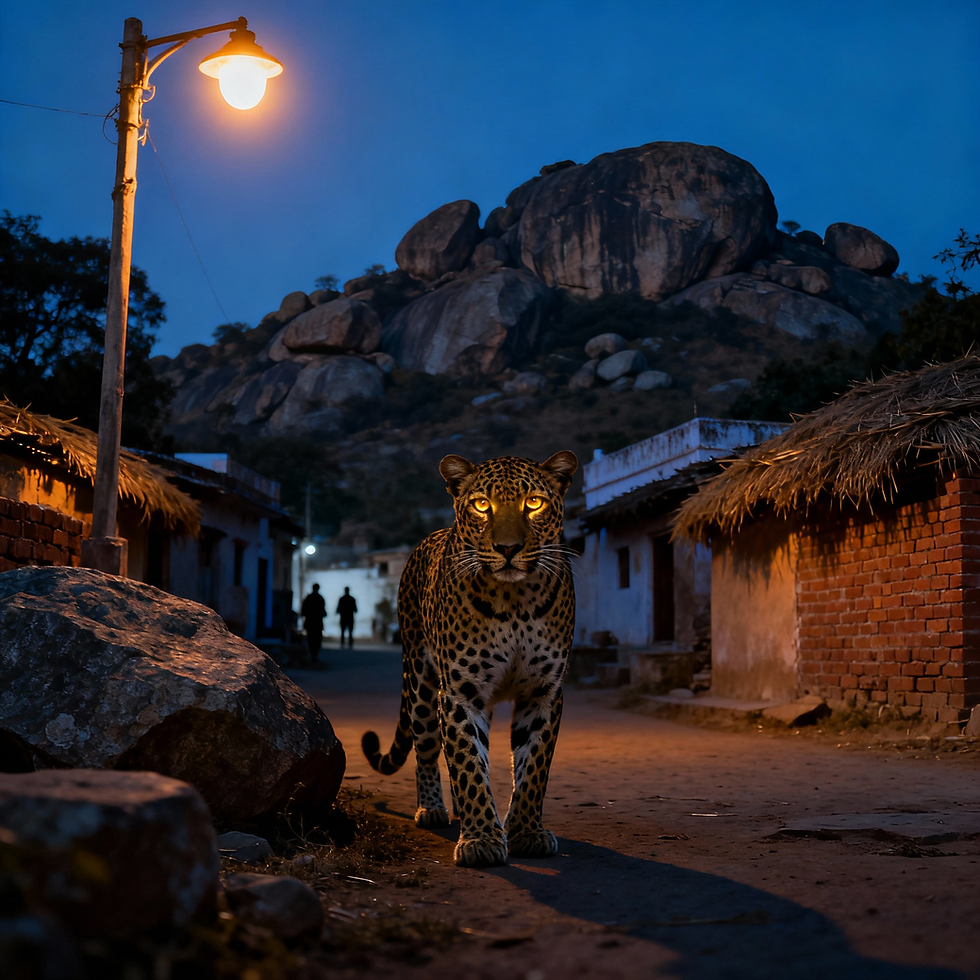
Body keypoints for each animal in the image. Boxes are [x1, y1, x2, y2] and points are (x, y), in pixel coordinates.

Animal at [362, 451, 578, 868]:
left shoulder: (543, 692)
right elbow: (466, 764)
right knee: (429, 750)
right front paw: (481, 839)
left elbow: (532, 767)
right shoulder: (461, 693)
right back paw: (434, 809)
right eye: (481, 505)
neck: (516, 603)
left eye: (534, 503)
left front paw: (525, 830)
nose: (508, 548)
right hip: (421, 685)